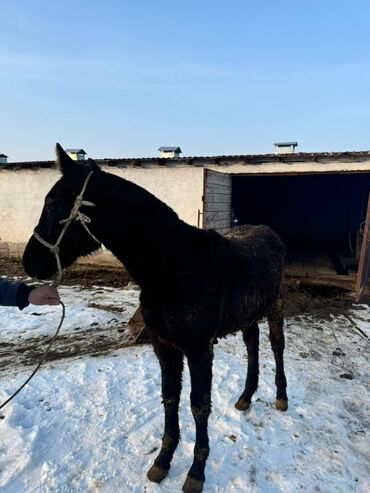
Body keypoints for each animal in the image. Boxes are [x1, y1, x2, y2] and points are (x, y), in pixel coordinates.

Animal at [22, 145, 290, 492]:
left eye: (53, 204)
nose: (29, 262)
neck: (173, 266)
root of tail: (268, 232)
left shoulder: (199, 350)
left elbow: (198, 405)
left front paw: (196, 472)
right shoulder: (164, 347)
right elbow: (170, 397)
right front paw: (162, 461)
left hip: (275, 307)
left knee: (276, 346)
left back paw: (281, 397)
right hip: (247, 314)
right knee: (252, 345)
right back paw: (245, 397)